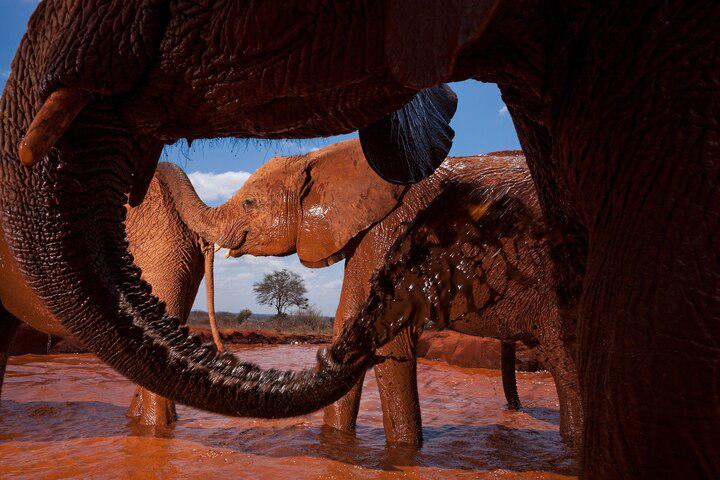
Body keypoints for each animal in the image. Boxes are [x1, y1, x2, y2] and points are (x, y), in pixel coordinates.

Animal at [156, 139, 582, 448]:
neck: (322, 157)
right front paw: (337, 446)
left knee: (566, 358)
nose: (161, 163)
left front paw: (405, 453)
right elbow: (349, 324)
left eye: (249, 202)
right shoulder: (367, 237)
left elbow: (388, 337)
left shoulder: (391, 230)